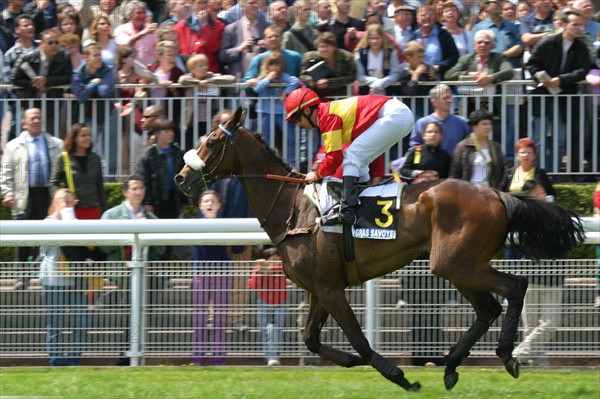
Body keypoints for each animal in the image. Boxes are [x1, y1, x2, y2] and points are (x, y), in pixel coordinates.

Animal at [175, 108, 584, 392]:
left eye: (213, 141)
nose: (180, 177)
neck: (294, 209)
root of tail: (498, 194)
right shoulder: (319, 287)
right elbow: (310, 339)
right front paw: (354, 362)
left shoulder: (331, 288)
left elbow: (358, 338)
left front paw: (399, 375)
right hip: (458, 265)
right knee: (488, 308)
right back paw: (452, 366)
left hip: (456, 263)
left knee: (515, 287)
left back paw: (506, 356)